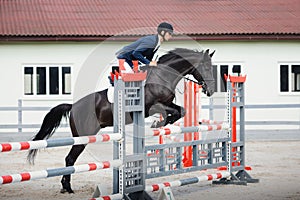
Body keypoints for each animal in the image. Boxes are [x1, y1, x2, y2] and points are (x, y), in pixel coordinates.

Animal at [27, 47, 216, 193]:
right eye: (206, 67)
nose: (211, 90)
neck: (163, 75)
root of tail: (73, 106)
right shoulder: (152, 106)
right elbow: (172, 112)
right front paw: (159, 122)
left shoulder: (168, 103)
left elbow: (181, 111)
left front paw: (163, 122)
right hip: (83, 136)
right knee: (70, 159)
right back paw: (67, 187)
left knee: (70, 159)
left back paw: (66, 187)